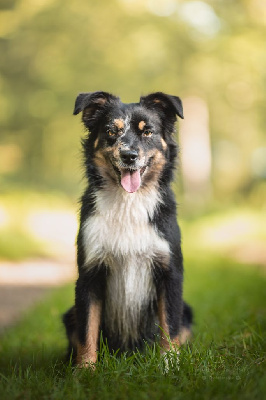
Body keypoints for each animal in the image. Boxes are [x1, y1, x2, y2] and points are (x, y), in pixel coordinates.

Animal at [63, 91, 192, 368]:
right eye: (112, 131)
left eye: (147, 132)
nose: (129, 155)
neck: (128, 203)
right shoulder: (89, 274)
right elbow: (87, 331)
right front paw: (85, 371)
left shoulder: (169, 271)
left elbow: (169, 326)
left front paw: (169, 366)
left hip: (188, 310)